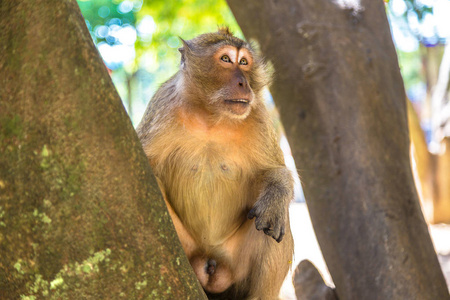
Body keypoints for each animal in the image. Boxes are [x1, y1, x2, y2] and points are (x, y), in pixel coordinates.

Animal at [135, 27, 294, 298]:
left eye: (244, 62)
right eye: (226, 59)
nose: (244, 83)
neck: (212, 117)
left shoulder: (259, 115)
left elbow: (275, 171)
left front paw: (276, 194)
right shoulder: (162, 107)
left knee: (273, 224)